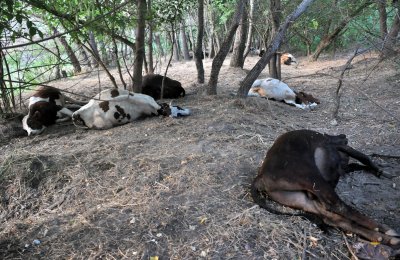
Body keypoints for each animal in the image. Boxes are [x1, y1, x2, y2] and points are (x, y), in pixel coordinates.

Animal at [252, 130, 400, 248]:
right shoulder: (341, 147)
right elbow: (364, 157)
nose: (343, 137)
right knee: (339, 206)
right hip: (311, 177)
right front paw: (380, 171)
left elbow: (356, 164)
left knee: (331, 216)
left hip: (300, 198)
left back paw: (383, 238)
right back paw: (383, 229)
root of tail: (260, 177)